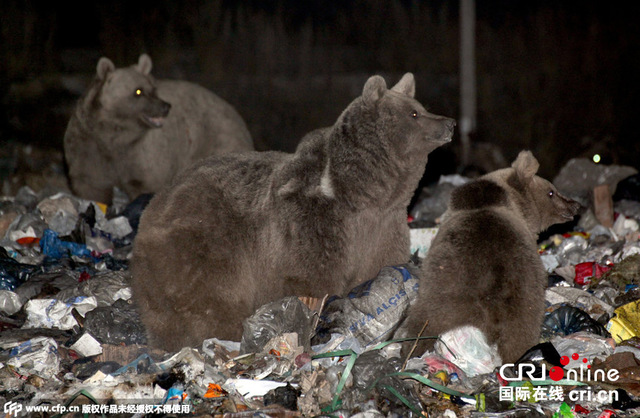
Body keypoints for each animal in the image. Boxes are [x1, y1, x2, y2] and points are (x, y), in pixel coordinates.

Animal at [63, 53, 254, 203]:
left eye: (153, 88)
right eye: (138, 91)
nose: (165, 107)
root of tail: (236, 113)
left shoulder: (144, 156)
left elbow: (146, 185)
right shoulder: (88, 148)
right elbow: (91, 187)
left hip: (219, 139)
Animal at [132, 72, 458, 352]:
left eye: (422, 107)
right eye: (414, 114)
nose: (450, 123)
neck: (363, 195)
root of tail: (155, 203)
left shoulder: (382, 227)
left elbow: (379, 266)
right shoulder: (311, 225)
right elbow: (310, 278)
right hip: (201, 244)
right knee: (208, 300)